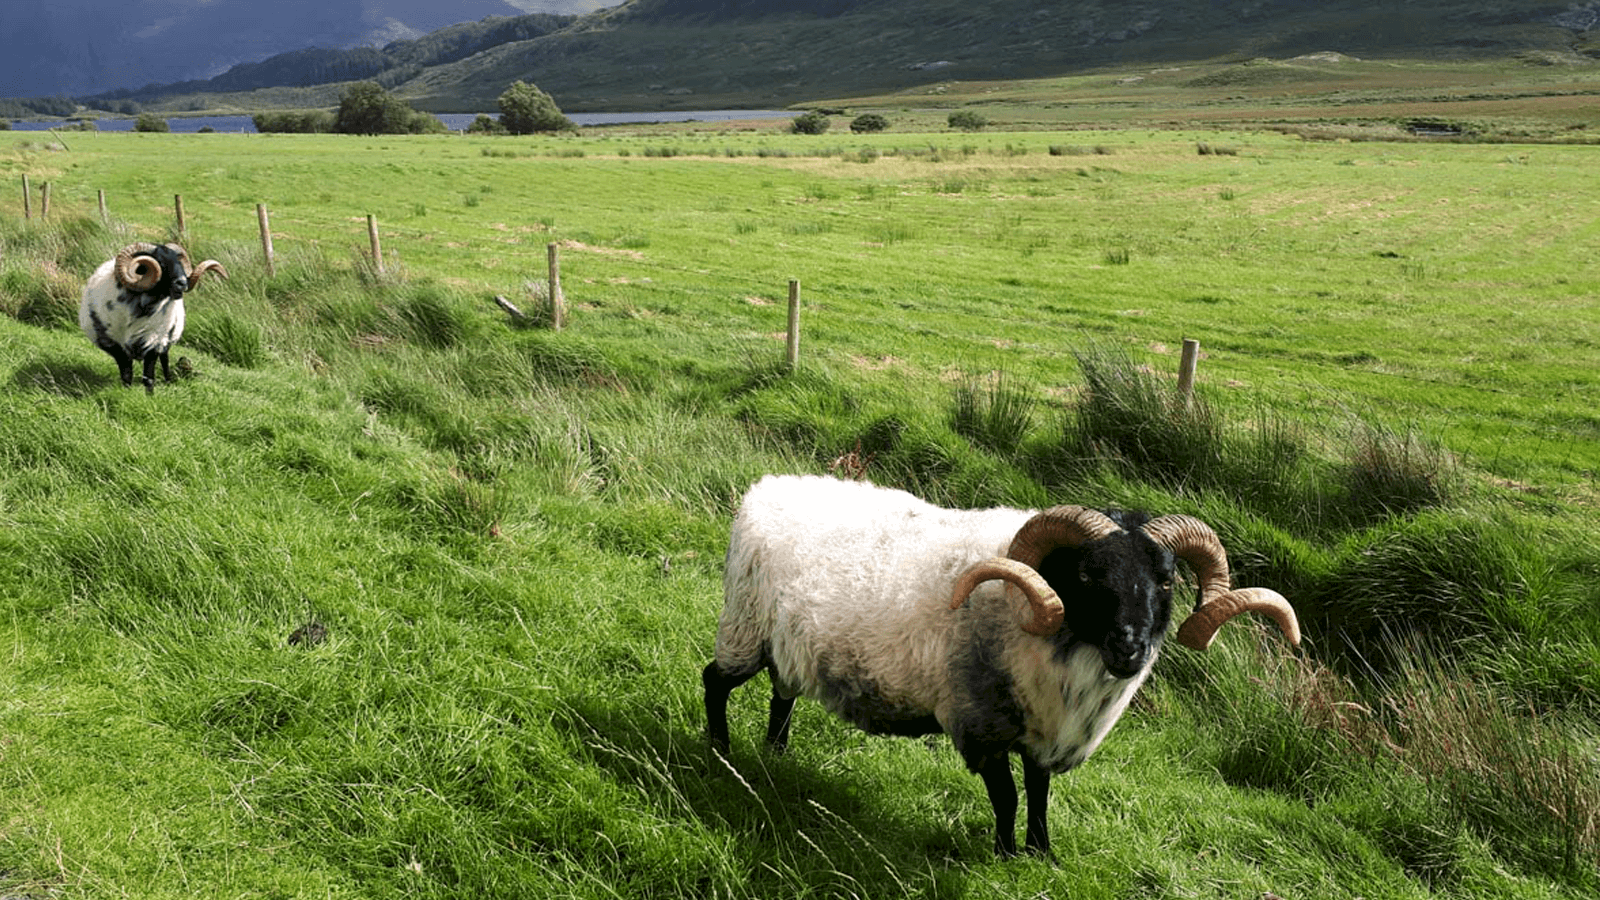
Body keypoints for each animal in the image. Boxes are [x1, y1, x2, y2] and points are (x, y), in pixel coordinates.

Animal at [78, 240, 227, 390]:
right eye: (160, 262)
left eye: (178, 261)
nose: (182, 283)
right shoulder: (116, 346)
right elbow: (126, 375)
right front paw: (127, 390)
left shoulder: (154, 343)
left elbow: (149, 377)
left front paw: (150, 392)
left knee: (165, 359)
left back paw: (168, 380)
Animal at [704, 474, 1299, 851]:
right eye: (1088, 575)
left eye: (1167, 579)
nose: (1129, 647)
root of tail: (764, 489)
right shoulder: (980, 722)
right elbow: (1009, 797)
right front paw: (1006, 854)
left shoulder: (1042, 731)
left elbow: (1039, 794)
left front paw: (1042, 853)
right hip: (744, 627)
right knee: (715, 682)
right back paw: (719, 752)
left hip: (785, 644)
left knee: (783, 693)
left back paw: (775, 755)